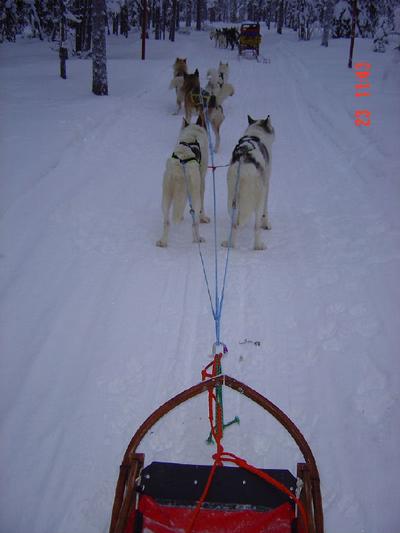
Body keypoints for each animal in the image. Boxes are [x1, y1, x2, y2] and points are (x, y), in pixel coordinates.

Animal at [155, 115, 209, 248]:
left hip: (166, 197)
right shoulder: (202, 181)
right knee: (195, 223)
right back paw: (197, 238)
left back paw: (163, 242)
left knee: (167, 222)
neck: (192, 136)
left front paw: (181, 216)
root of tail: (180, 168)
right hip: (195, 196)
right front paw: (203, 217)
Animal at [222, 115, 276, 251]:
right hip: (258, 197)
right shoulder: (266, 186)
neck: (254, 134)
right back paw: (258, 245)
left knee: (234, 224)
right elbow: (265, 212)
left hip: (232, 199)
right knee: (256, 226)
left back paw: (230, 243)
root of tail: (244, 167)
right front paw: (266, 224)